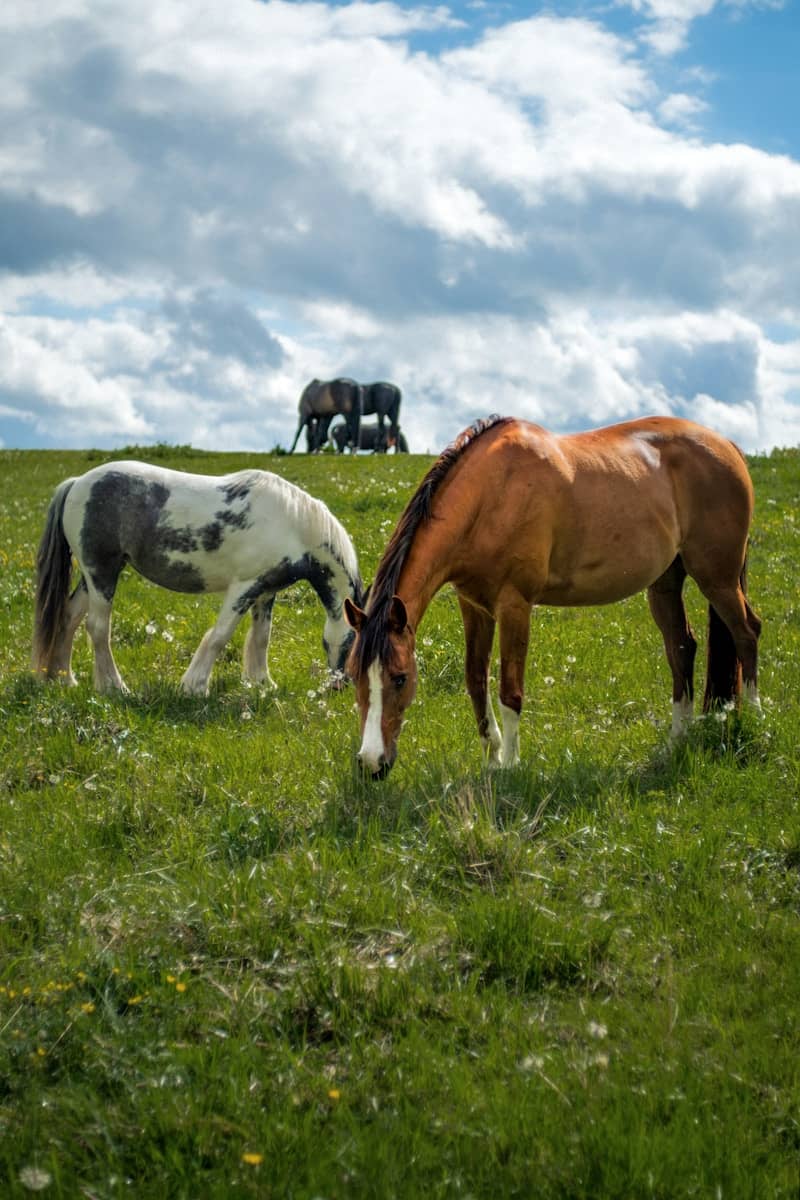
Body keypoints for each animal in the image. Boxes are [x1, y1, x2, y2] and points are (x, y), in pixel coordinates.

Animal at [32, 461, 364, 696]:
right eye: (354, 642)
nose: (339, 686)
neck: (293, 525)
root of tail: (76, 483)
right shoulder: (243, 588)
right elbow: (220, 635)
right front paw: (194, 687)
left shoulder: (265, 592)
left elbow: (261, 637)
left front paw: (262, 683)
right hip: (102, 573)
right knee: (98, 628)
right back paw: (115, 687)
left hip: (91, 578)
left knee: (69, 617)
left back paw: (64, 679)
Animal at [344, 414, 761, 779]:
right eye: (353, 675)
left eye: (400, 678)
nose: (371, 763)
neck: (490, 494)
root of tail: (727, 446)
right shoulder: (474, 606)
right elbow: (476, 682)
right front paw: (491, 759)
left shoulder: (515, 605)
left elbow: (510, 692)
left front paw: (510, 767)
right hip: (665, 583)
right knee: (682, 648)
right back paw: (676, 742)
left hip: (717, 577)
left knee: (747, 633)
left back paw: (756, 721)